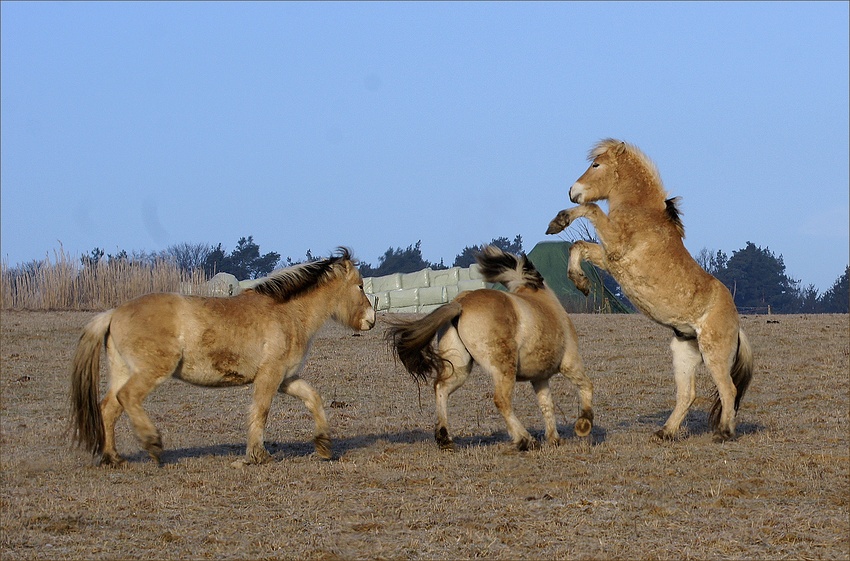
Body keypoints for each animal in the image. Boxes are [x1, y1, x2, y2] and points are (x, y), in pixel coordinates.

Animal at [71, 247, 376, 466]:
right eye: (360, 286)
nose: (371, 320)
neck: (287, 313)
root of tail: (114, 313)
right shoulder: (270, 375)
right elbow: (261, 411)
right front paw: (256, 455)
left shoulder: (286, 378)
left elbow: (313, 398)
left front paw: (323, 447)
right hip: (151, 371)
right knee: (128, 398)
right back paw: (152, 443)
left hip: (122, 371)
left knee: (108, 408)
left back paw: (113, 457)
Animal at [384, 245, 588, 450]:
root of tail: (461, 304)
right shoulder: (570, 364)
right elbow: (585, 388)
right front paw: (584, 425)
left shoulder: (540, 377)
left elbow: (547, 404)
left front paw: (554, 439)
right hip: (504, 368)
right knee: (502, 400)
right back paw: (525, 439)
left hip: (459, 367)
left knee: (441, 388)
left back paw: (444, 438)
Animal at [548, 139, 752, 442]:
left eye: (596, 165)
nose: (573, 191)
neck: (642, 213)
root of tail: (736, 324)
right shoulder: (610, 258)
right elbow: (579, 246)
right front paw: (580, 281)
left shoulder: (614, 247)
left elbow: (592, 210)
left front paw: (559, 221)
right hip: (684, 353)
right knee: (687, 394)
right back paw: (665, 432)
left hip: (714, 354)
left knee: (729, 390)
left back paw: (724, 432)